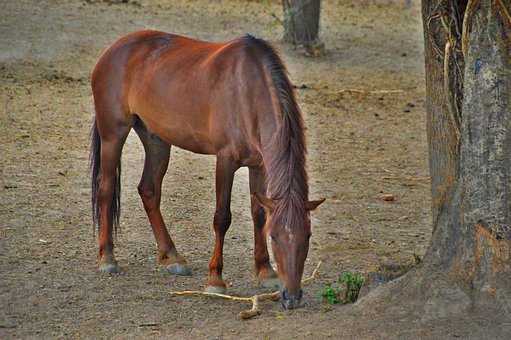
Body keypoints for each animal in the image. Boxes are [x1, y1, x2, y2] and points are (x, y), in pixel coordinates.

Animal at [89, 30, 324, 310]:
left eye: (308, 236)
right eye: (275, 237)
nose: (292, 297)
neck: (248, 91)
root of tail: (113, 49)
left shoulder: (259, 165)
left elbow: (258, 214)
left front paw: (265, 272)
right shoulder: (225, 160)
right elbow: (222, 218)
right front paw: (215, 279)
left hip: (156, 139)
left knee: (149, 191)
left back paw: (172, 257)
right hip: (113, 134)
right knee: (106, 188)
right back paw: (107, 257)